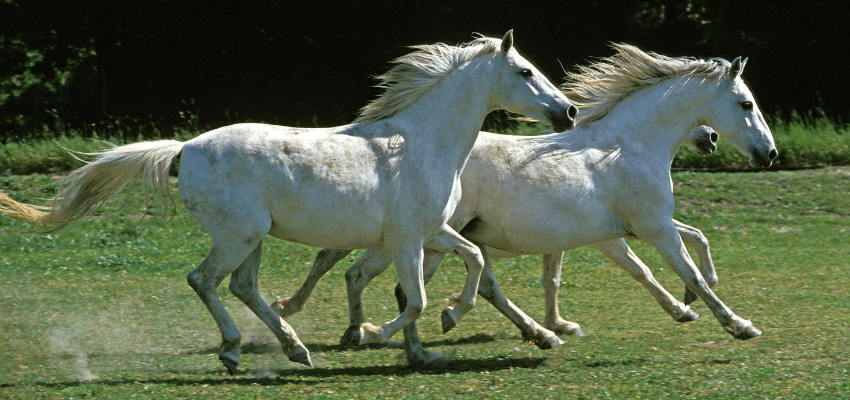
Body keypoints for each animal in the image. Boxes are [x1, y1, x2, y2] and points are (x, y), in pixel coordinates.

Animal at [0, 30, 576, 372]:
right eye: (525, 71)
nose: (568, 111)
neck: (422, 142)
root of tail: (184, 149)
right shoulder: (408, 240)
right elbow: (413, 300)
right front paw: (374, 334)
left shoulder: (431, 231)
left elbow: (473, 261)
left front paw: (441, 329)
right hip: (239, 235)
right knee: (204, 281)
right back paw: (238, 350)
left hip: (252, 239)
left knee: (242, 286)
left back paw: (291, 347)